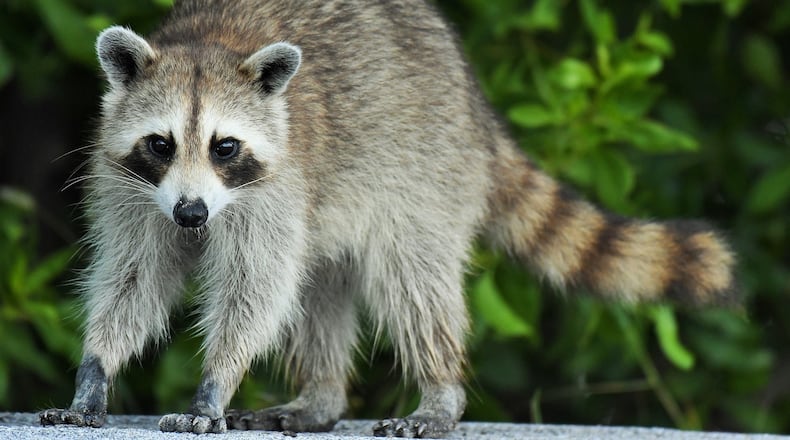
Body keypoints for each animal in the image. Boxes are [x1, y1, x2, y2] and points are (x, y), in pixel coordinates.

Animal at [39, 0, 737, 438]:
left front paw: (215, 381)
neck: (209, 42)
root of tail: (475, 104)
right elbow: (134, 276)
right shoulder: (131, 189)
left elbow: (254, 288)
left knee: (412, 282)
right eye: (161, 143)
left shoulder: (276, 187)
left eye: (225, 146)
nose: (191, 213)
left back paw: (439, 392)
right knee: (320, 289)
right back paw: (321, 398)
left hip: (425, 171)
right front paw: (96, 371)